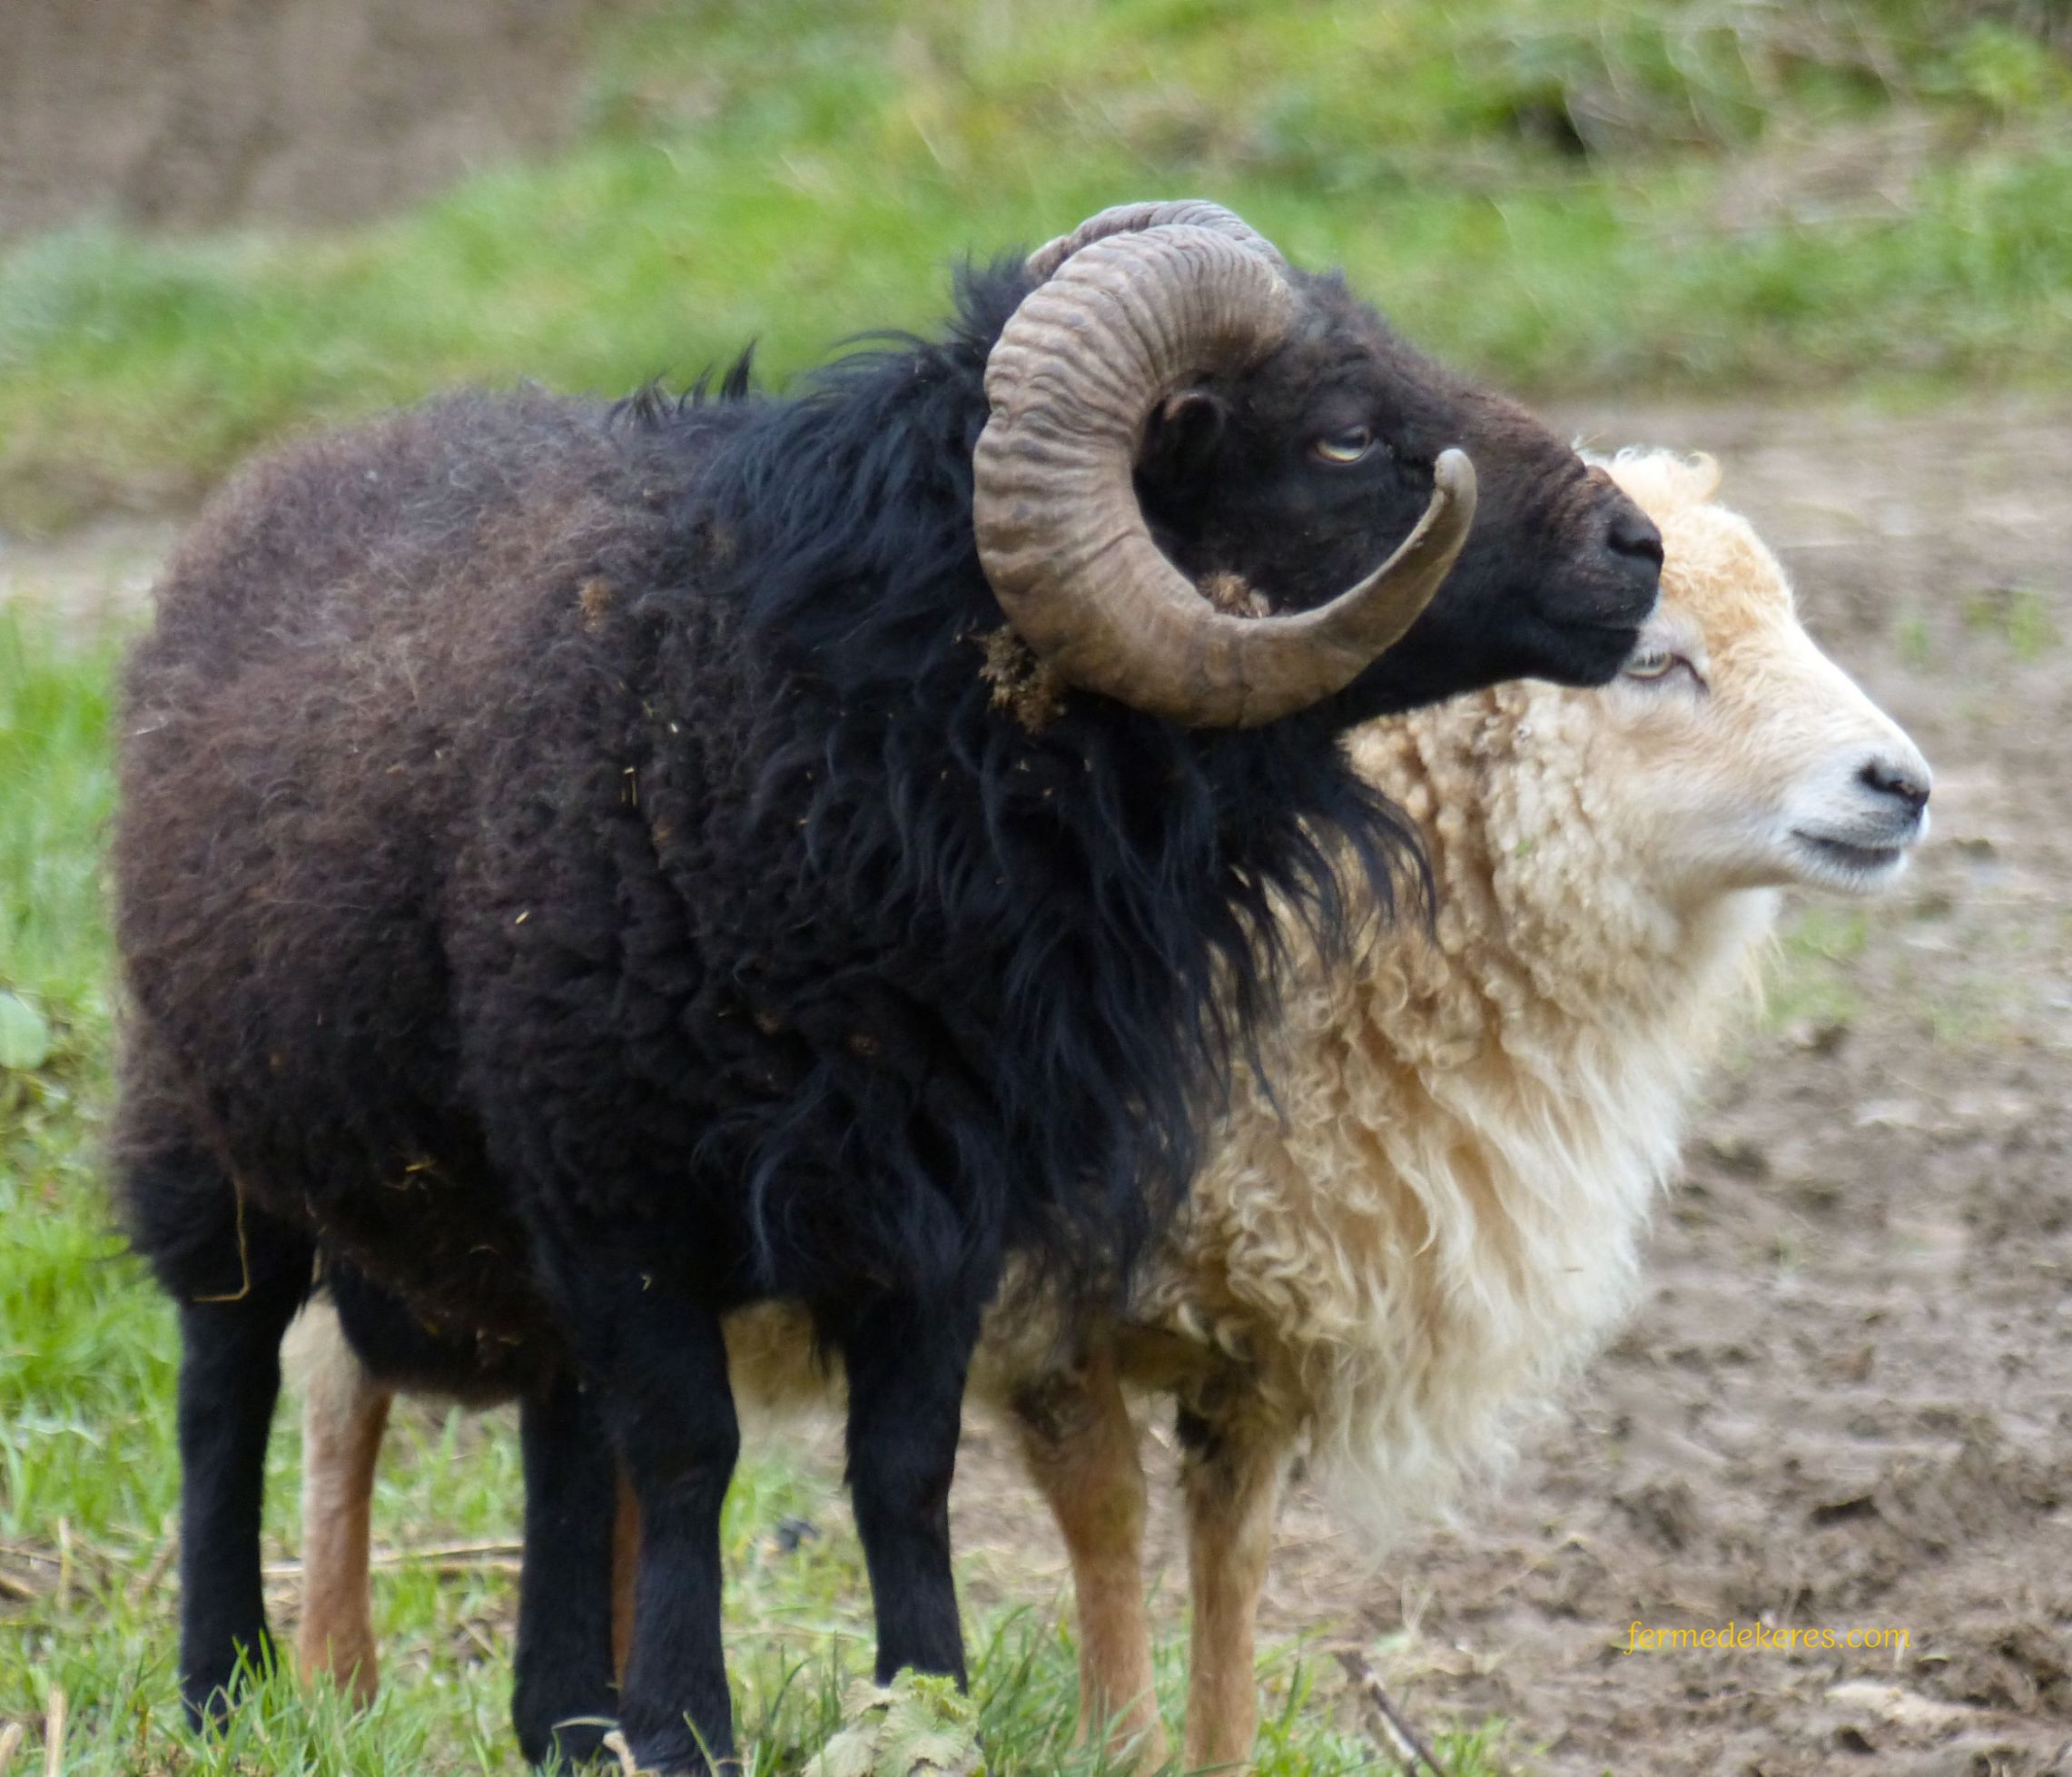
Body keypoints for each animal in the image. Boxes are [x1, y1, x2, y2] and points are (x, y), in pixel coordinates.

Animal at [112, 199, 1663, 1774]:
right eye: (1342, 434)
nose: (1637, 547)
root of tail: (302, 464)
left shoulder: (937, 1198)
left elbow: (900, 1467)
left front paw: (926, 1703)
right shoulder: (621, 1184)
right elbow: (690, 1448)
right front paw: (690, 1726)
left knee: (556, 1417)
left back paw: (561, 1719)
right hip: (203, 1119)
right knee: (226, 1371)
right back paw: (224, 1684)